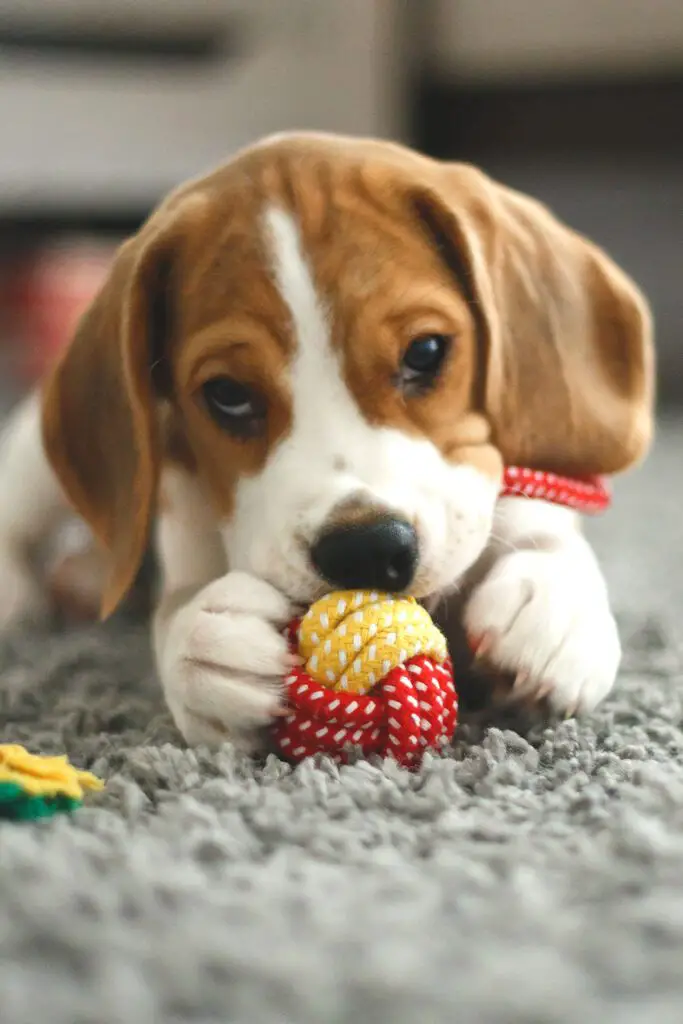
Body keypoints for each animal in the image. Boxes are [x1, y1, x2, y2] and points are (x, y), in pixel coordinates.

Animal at [0, 130, 655, 753]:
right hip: (36, 458)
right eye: (228, 394)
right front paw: (204, 648)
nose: (365, 549)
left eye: (426, 352)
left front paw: (554, 595)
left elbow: (532, 513)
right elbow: (179, 608)